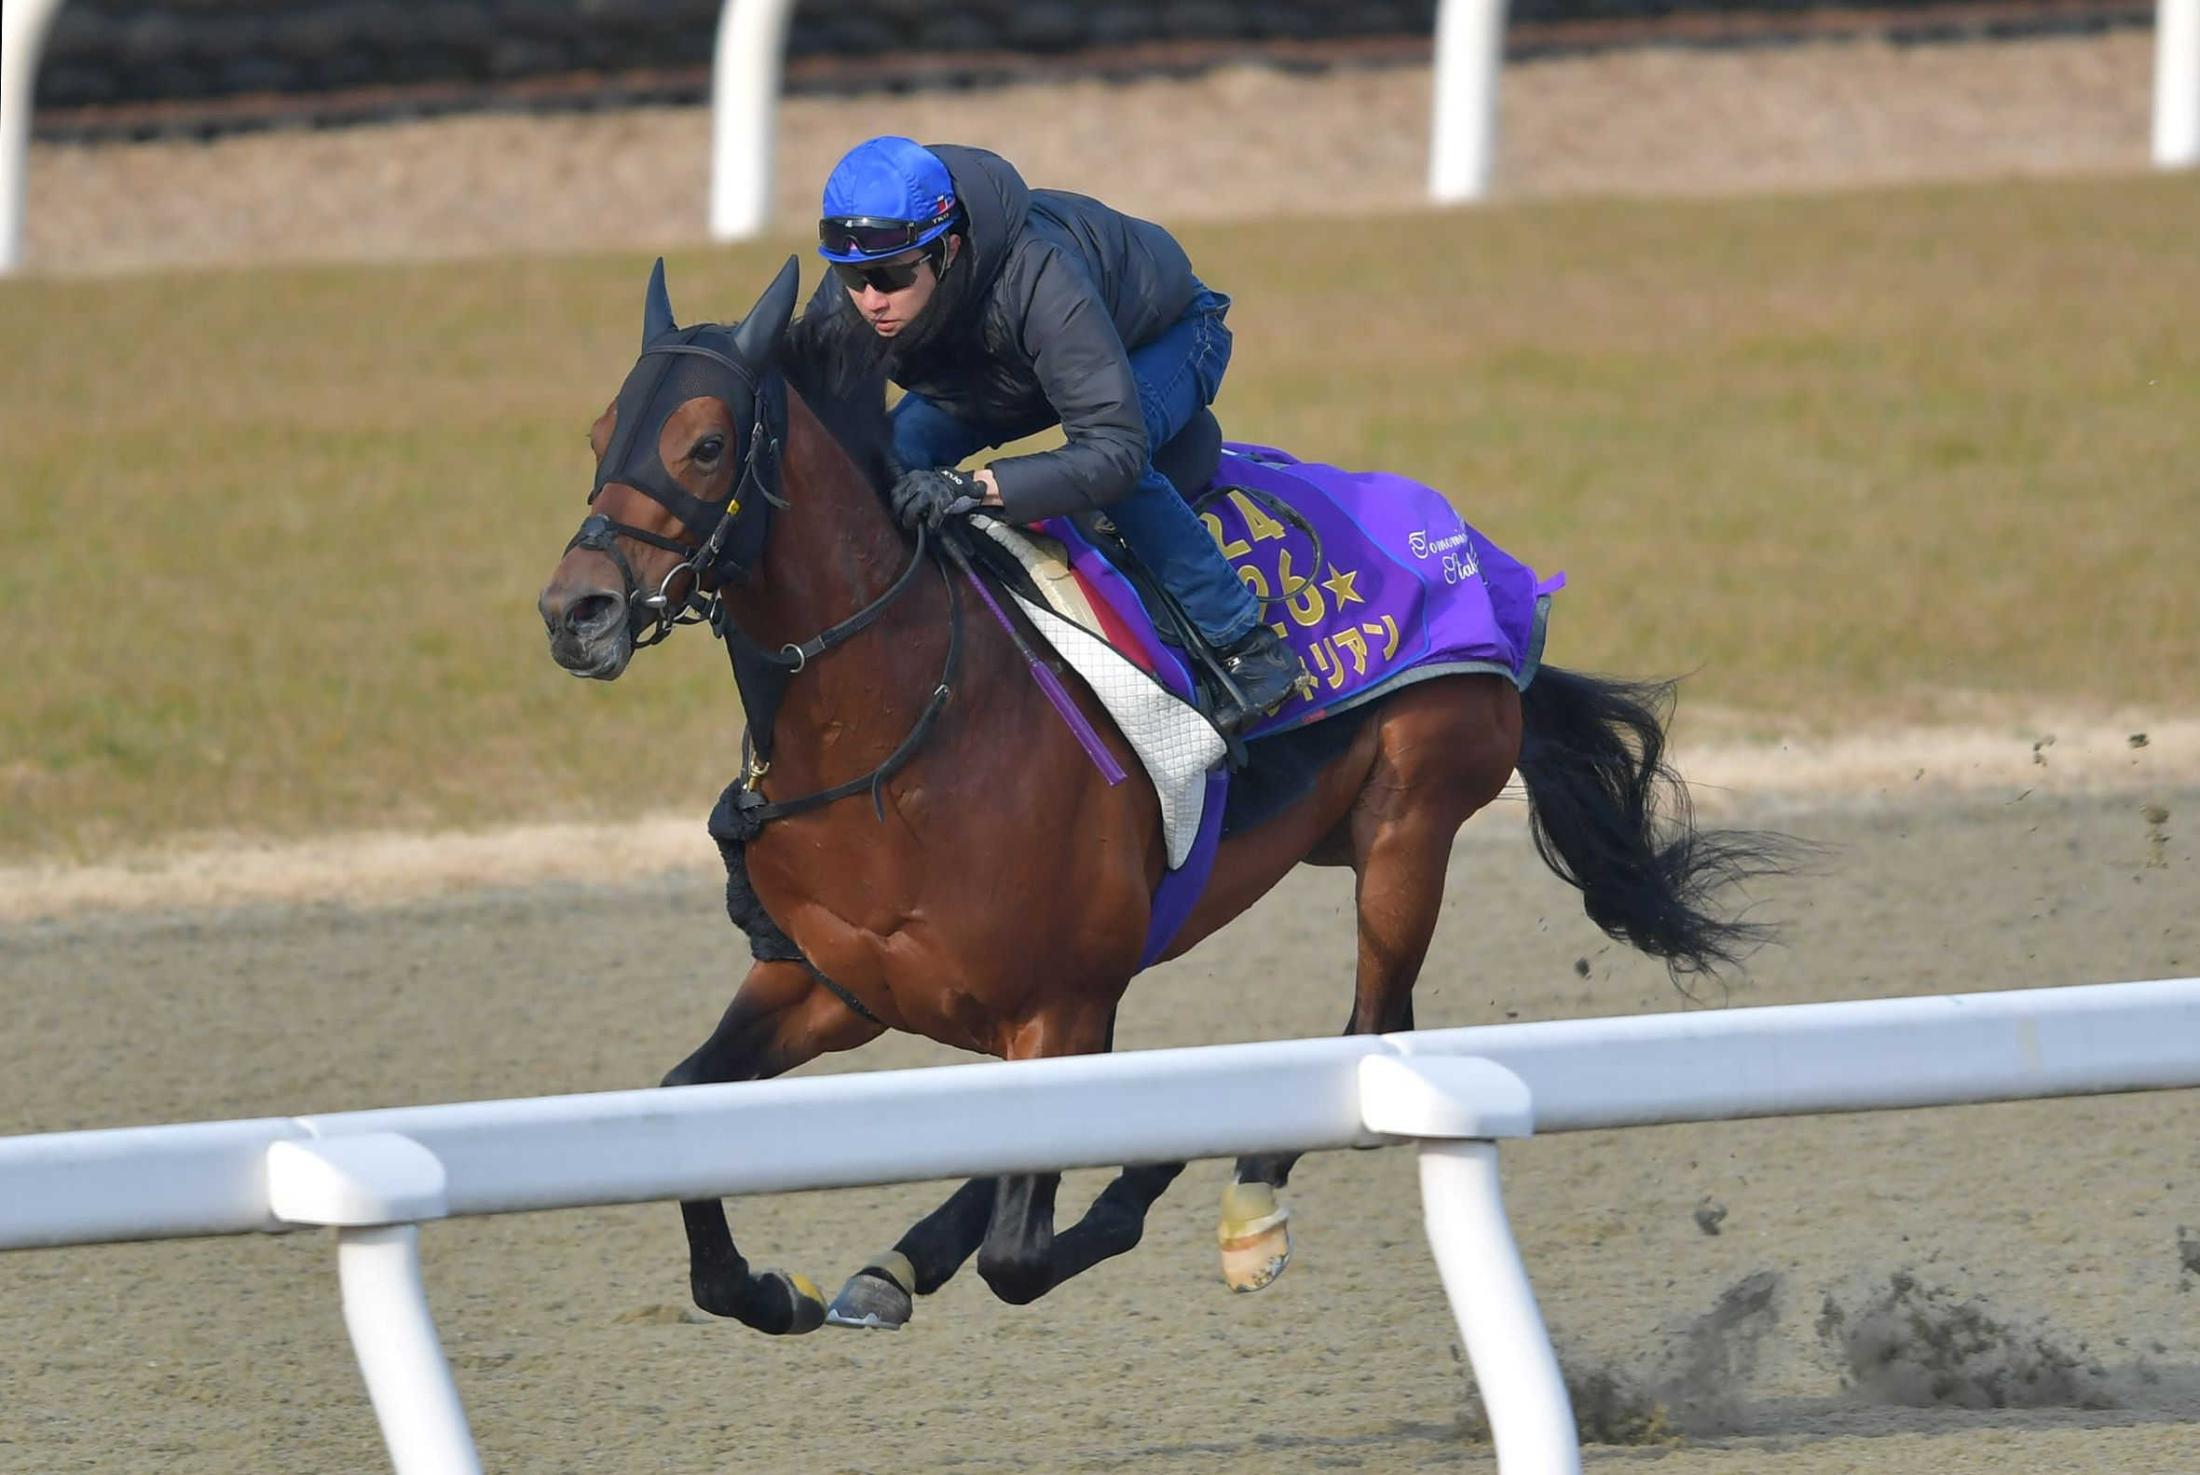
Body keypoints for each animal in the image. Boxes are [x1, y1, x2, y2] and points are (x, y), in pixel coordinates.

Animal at [536, 259, 1804, 1347]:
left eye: (705, 444)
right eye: (599, 433)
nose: (575, 609)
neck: (901, 733)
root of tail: (1483, 562)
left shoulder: (1060, 1004)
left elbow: (1028, 1249)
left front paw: (1145, 1173)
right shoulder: (833, 983)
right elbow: (682, 1107)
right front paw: (771, 1283)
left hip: (1408, 822)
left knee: (1371, 1019)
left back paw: (1244, 1201)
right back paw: (900, 1262)